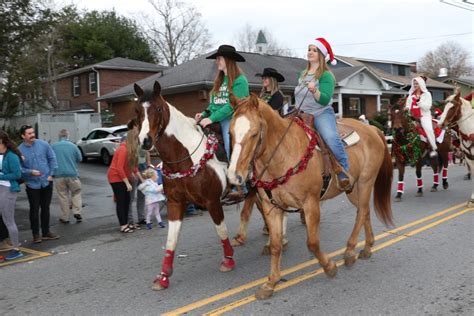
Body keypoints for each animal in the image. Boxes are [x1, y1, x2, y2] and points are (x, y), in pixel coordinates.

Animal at [135, 81, 262, 292]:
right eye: (137, 111)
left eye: (158, 108)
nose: (145, 141)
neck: (186, 159)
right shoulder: (175, 203)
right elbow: (171, 240)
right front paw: (163, 277)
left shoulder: (212, 202)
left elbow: (221, 230)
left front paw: (228, 260)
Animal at [226, 95, 392, 300]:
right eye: (230, 133)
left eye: (255, 134)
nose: (234, 176)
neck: (283, 156)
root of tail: (373, 129)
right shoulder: (271, 208)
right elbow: (275, 245)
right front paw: (271, 283)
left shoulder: (310, 204)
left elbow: (312, 243)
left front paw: (329, 267)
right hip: (353, 189)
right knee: (365, 211)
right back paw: (367, 247)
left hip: (366, 182)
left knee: (361, 213)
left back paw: (349, 251)